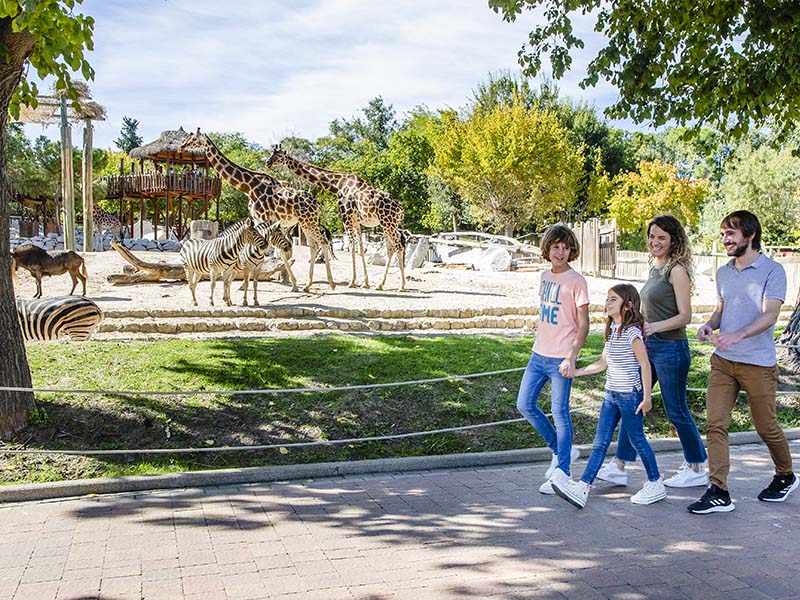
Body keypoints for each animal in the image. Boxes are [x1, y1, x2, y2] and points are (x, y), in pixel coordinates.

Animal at [178, 129, 334, 292]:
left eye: (193, 139)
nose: (182, 147)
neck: (250, 188)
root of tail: (318, 203)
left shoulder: (263, 218)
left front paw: (245, 283)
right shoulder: (257, 218)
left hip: (309, 221)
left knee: (322, 242)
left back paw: (330, 283)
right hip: (304, 223)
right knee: (313, 246)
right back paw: (308, 285)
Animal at [266, 145, 406, 290]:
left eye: (278, 156)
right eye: (271, 153)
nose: (268, 163)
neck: (338, 185)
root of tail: (400, 209)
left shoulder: (346, 217)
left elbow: (352, 248)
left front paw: (352, 282)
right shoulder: (356, 221)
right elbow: (360, 249)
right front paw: (365, 283)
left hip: (388, 223)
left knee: (399, 247)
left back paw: (401, 286)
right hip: (388, 225)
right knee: (391, 249)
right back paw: (380, 284)